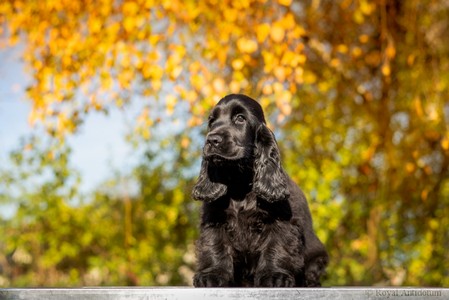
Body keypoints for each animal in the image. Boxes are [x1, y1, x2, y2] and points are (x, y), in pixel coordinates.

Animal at [191, 95, 328, 288]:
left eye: (240, 118)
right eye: (212, 121)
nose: (211, 140)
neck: (239, 183)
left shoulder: (280, 221)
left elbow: (275, 247)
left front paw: (275, 276)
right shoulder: (214, 219)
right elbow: (215, 246)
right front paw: (211, 275)